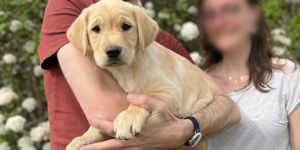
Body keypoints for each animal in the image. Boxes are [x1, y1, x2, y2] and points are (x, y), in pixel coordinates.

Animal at [66, 0, 213, 149]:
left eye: (126, 26)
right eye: (96, 29)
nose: (113, 51)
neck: (126, 71)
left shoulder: (171, 92)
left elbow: (143, 98)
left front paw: (127, 119)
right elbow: (96, 127)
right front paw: (83, 138)